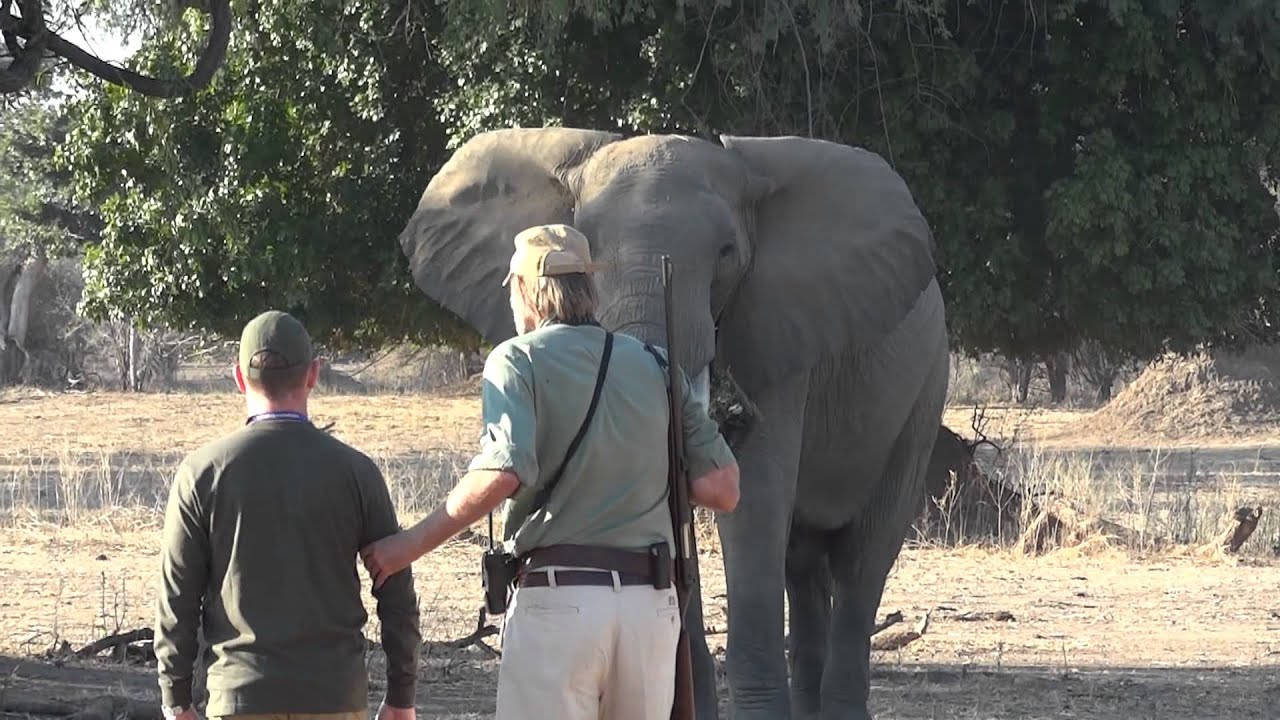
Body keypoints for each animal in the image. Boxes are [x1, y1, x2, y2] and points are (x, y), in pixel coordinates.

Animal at [396, 127, 950, 720]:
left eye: (727, 255)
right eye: (587, 246)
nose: (733, 415)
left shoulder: (777, 325)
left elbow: (754, 502)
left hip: (925, 388)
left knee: (861, 558)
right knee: (803, 565)